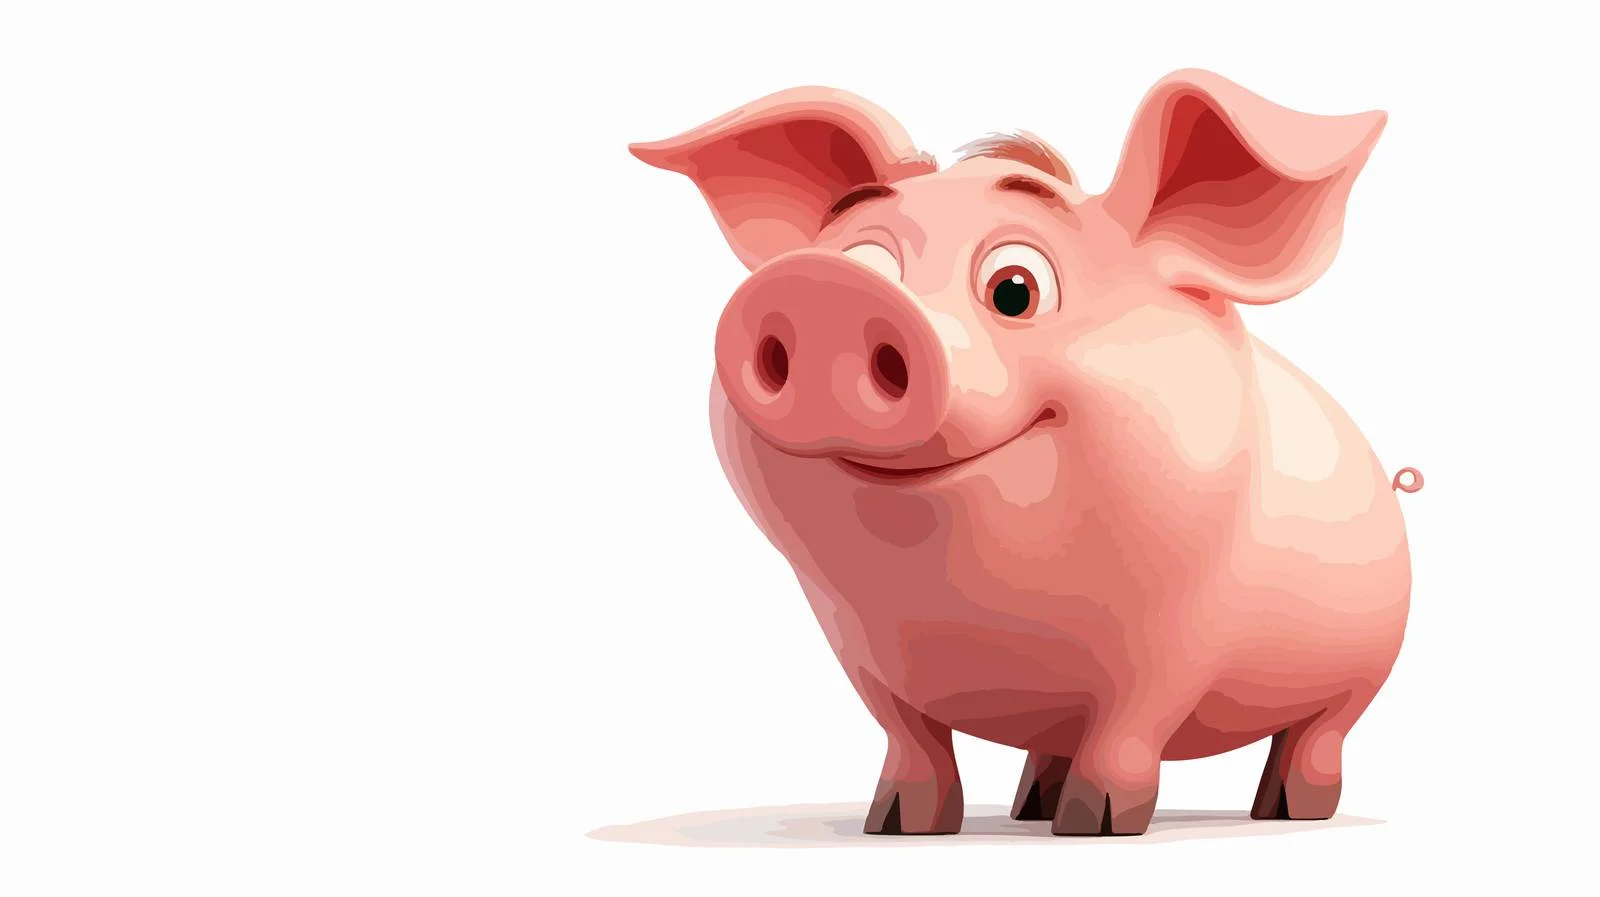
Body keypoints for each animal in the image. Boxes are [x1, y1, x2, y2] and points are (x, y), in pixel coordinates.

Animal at [629, 69, 1419, 837]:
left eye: (1015, 288)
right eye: (862, 258)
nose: (829, 291)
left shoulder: (1179, 639)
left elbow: (1128, 730)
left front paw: (1099, 825)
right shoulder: (856, 645)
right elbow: (910, 740)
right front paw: (892, 825)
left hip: (1361, 676)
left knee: (1315, 737)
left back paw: (1284, 811)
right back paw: (1029, 806)